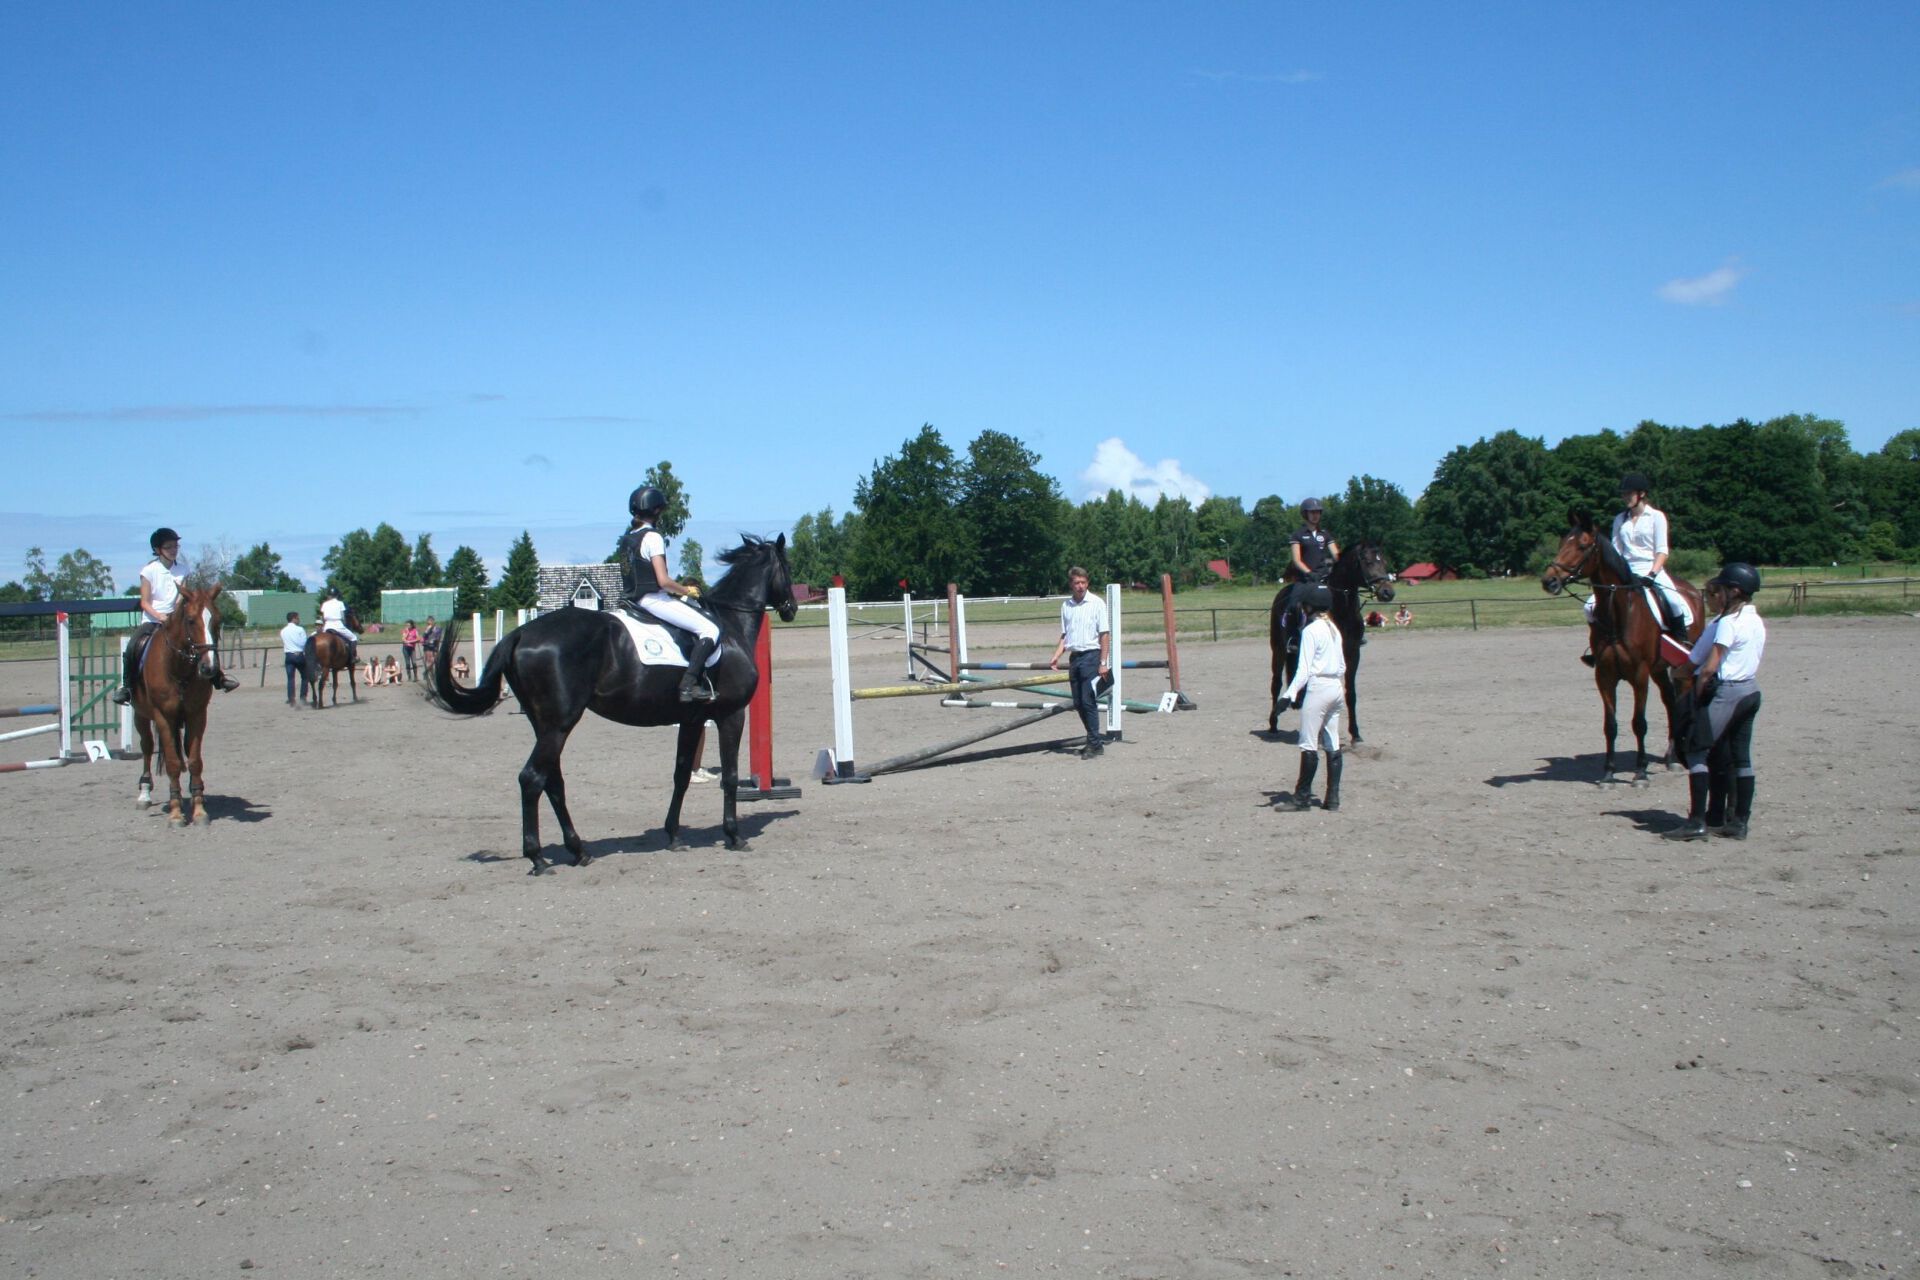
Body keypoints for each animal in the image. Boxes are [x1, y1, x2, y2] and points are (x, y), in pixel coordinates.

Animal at [132, 583, 223, 827]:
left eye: (218, 619)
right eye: (190, 620)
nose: (209, 668)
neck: (178, 669)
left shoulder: (197, 715)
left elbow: (194, 761)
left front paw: (198, 809)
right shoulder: (163, 716)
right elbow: (172, 763)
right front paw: (175, 813)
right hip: (140, 715)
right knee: (147, 747)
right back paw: (144, 794)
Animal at [427, 535, 796, 874]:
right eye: (787, 567)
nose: (792, 608)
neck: (730, 628)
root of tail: (519, 634)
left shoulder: (691, 720)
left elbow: (680, 775)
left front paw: (674, 835)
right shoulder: (730, 714)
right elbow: (730, 776)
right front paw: (733, 835)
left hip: (545, 724)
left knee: (552, 780)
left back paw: (578, 850)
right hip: (560, 723)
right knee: (532, 778)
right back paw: (538, 858)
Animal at [1268, 541, 1396, 741]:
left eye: (1383, 561)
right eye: (1367, 562)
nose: (1387, 592)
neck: (1340, 609)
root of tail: (1282, 594)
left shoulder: (1352, 653)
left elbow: (1350, 693)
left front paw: (1355, 733)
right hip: (1278, 649)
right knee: (1276, 684)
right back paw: (1273, 724)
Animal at [1541, 509, 1704, 785]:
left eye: (1582, 546)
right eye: (1562, 543)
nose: (1549, 581)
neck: (1620, 614)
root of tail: (1692, 591)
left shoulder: (1639, 674)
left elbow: (1639, 723)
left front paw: (1640, 773)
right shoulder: (1604, 674)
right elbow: (1610, 725)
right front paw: (1608, 774)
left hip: (1679, 665)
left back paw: (1676, 759)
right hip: (1658, 669)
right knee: (1670, 701)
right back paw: (1670, 758)